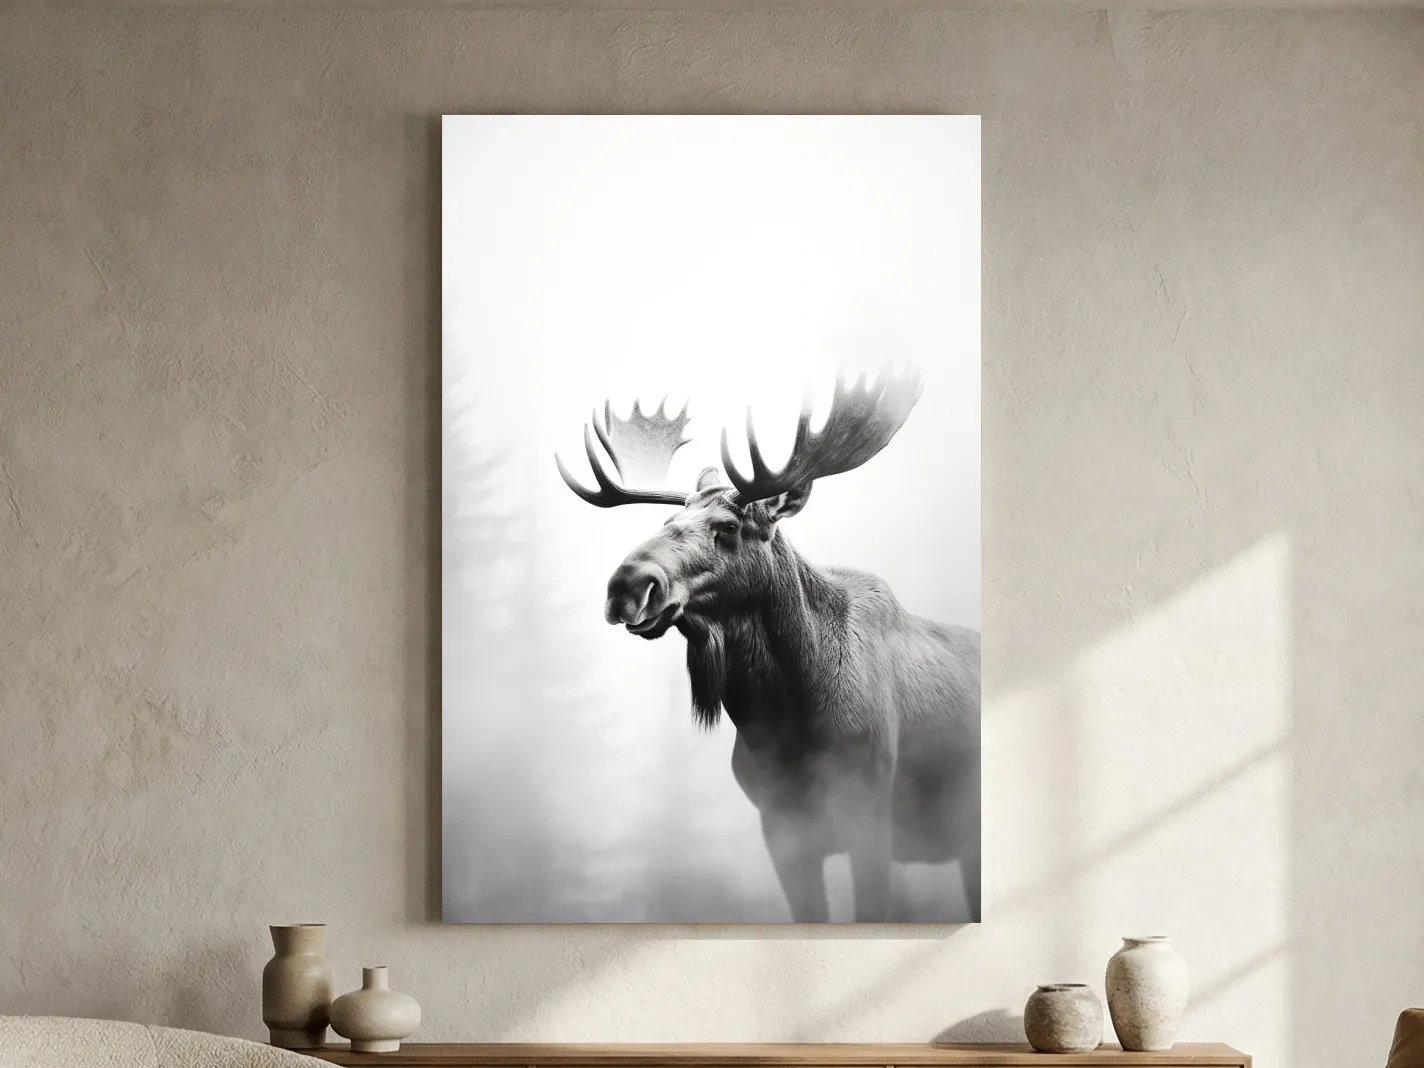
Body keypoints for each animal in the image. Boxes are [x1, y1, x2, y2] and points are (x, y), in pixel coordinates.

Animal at [555, 368, 980, 922]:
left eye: (729, 527)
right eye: (666, 524)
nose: (627, 585)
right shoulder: (781, 830)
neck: (786, 723)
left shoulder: (871, 817)